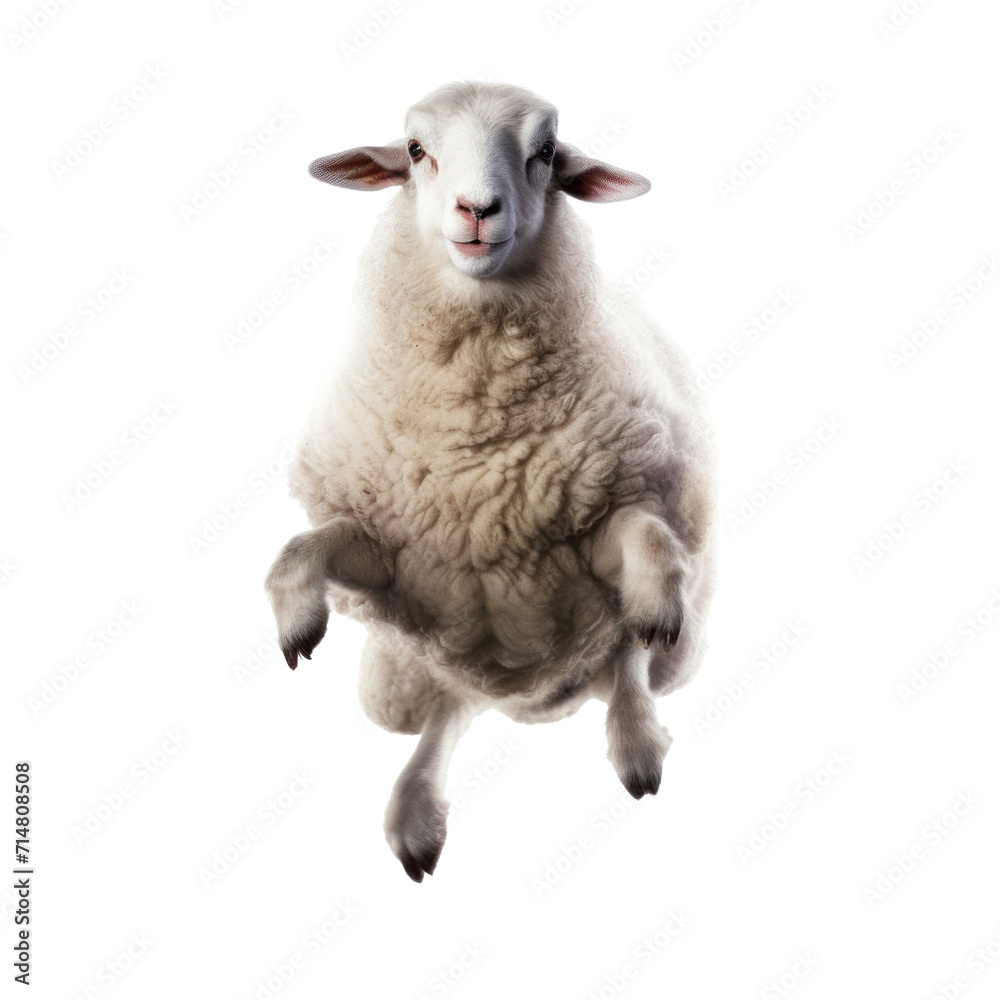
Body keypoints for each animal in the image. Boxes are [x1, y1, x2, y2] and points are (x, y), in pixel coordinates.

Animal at [265, 81, 718, 881]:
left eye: (546, 151)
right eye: (416, 149)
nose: (477, 209)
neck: (475, 443)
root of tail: (535, 699)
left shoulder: (587, 533)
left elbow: (647, 536)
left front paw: (654, 600)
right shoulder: (396, 558)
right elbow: (297, 551)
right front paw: (296, 620)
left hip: (650, 639)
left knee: (627, 657)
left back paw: (637, 739)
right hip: (420, 662)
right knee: (450, 708)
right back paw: (415, 813)